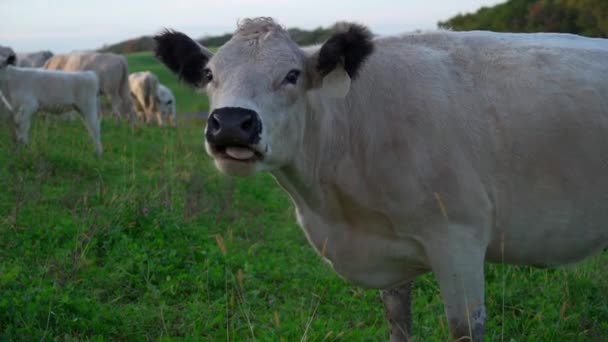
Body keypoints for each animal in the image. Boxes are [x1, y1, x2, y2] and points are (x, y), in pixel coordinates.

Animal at [153, 18, 608, 342]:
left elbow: (464, 329)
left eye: (292, 74)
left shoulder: (458, 238)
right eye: (209, 74)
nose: (231, 123)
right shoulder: (392, 249)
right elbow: (397, 322)